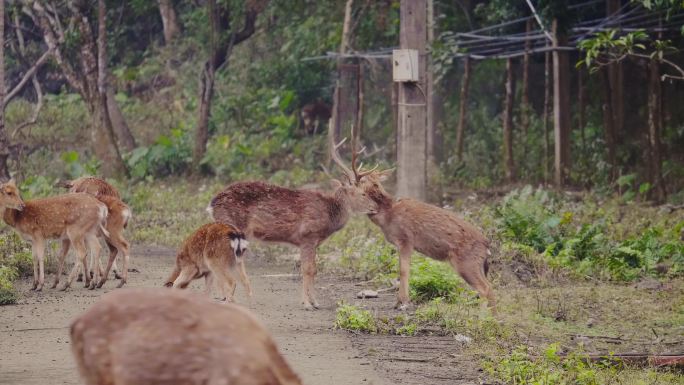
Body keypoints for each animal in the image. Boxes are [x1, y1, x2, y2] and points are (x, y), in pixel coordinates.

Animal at [208, 138, 380, 308]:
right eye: (363, 193)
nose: (375, 207)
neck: (329, 216)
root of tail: (212, 204)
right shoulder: (307, 236)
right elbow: (308, 270)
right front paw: (308, 303)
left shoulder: (312, 242)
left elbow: (313, 270)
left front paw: (314, 302)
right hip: (233, 226)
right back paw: (227, 297)